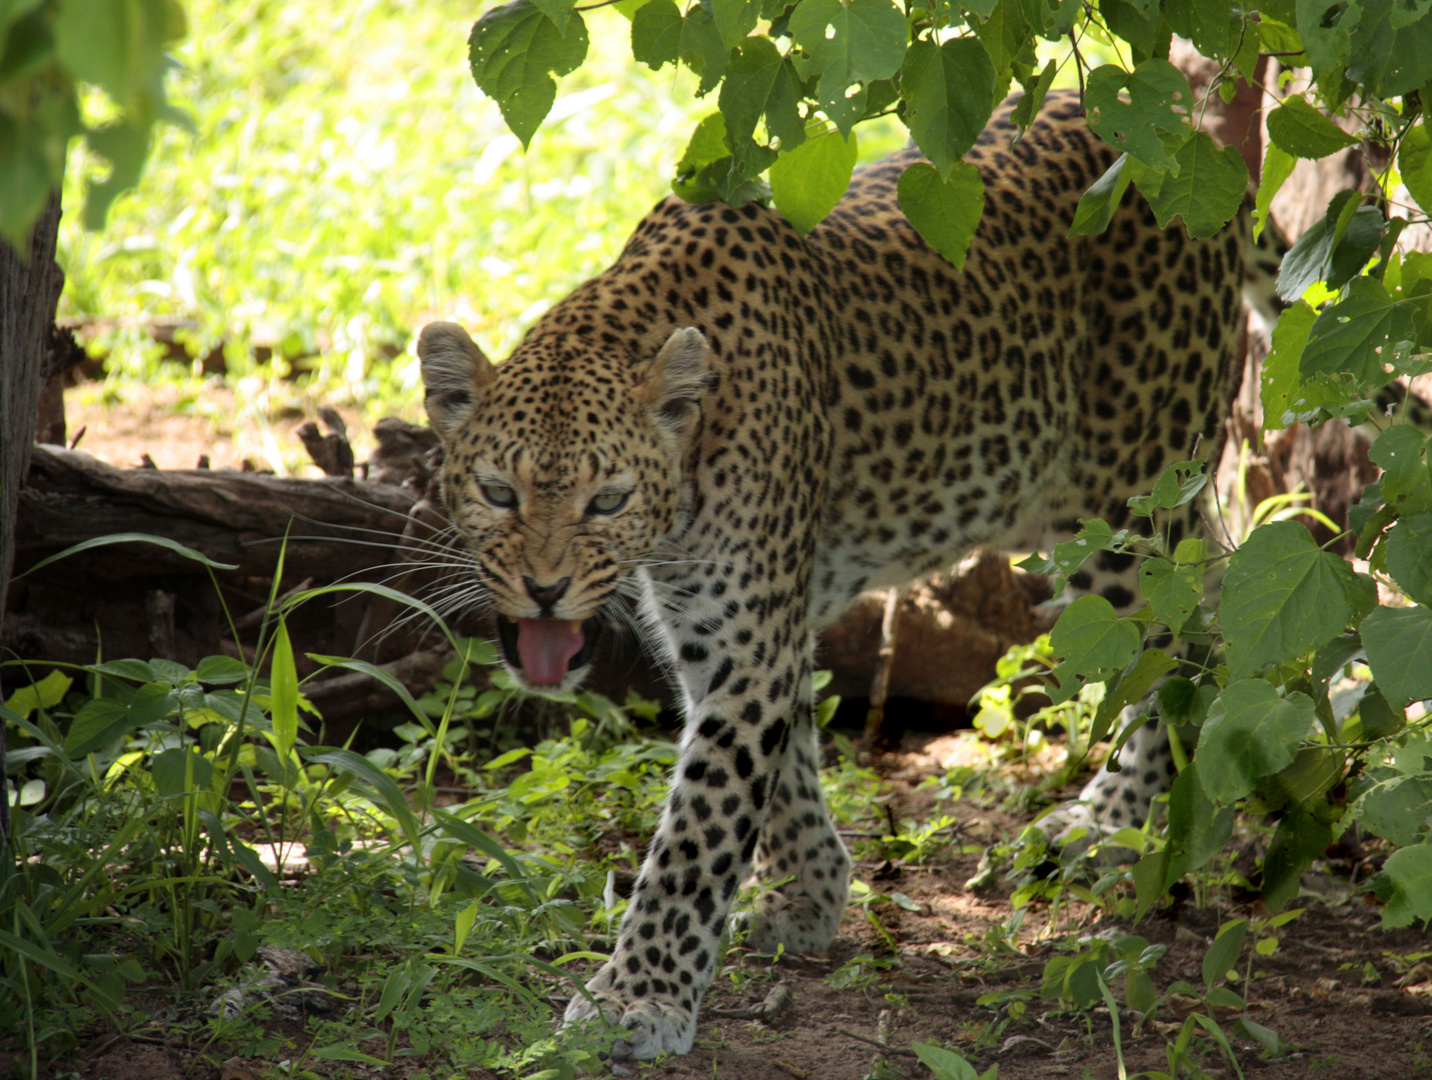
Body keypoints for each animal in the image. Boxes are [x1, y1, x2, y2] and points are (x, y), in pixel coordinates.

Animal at [415, 90, 1277, 1054]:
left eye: (608, 499)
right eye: (498, 492)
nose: (546, 589)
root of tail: (1190, 137)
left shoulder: (746, 642)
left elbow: (697, 833)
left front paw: (637, 997)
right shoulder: (730, 630)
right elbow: (782, 764)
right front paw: (810, 894)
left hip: (1129, 501)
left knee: (1183, 640)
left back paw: (1105, 824)